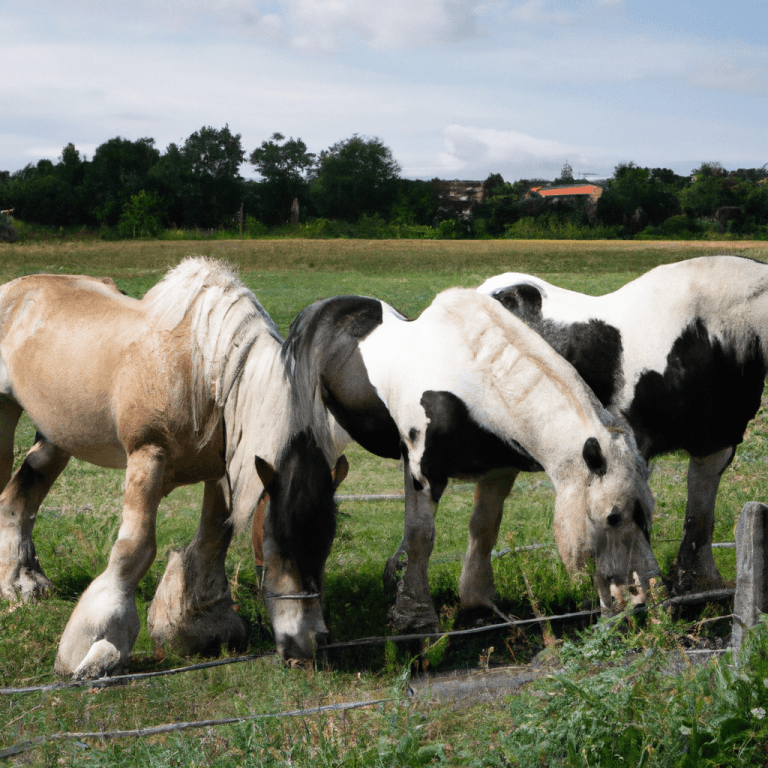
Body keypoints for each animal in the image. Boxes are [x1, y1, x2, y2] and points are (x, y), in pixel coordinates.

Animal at [0, 257, 344, 677]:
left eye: (326, 543)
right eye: (275, 546)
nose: (306, 648)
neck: (204, 369)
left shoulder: (221, 473)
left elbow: (213, 539)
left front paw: (198, 627)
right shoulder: (147, 457)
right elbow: (135, 547)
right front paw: (96, 640)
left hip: (55, 437)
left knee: (18, 499)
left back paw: (24, 583)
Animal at [275, 287, 657, 637]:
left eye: (648, 515)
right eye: (613, 517)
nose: (639, 604)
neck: (472, 380)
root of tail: (317, 309)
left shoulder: (499, 469)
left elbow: (484, 528)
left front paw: (479, 605)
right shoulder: (422, 471)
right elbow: (420, 536)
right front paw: (416, 619)